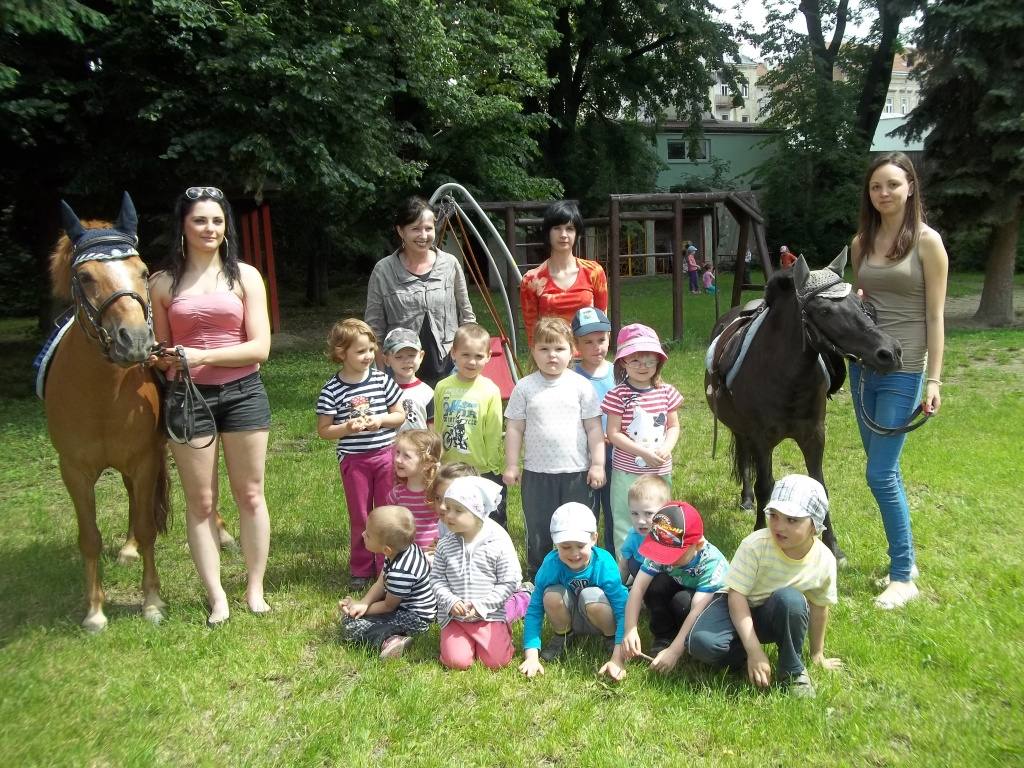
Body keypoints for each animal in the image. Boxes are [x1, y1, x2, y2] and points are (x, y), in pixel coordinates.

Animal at [44, 192, 168, 632]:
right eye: (85, 277)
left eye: (143, 271)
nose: (135, 341)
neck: (102, 395)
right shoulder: (73, 470)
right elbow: (90, 537)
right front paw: (95, 611)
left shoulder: (146, 458)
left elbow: (148, 527)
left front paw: (152, 602)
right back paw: (126, 550)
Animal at [705, 249, 902, 561]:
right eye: (824, 311)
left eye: (861, 305)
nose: (889, 352)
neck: (786, 376)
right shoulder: (762, 439)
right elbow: (765, 486)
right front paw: (759, 532)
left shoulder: (814, 436)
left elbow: (820, 487)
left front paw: (834, 547)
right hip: (741, 429)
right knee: (746, 461)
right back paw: (746, 500)